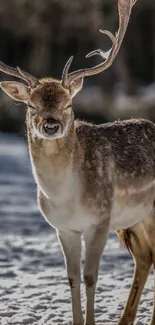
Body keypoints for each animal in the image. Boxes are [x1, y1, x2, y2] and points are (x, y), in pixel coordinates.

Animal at [0, 0, 154, 322]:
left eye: (68, 103)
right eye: (31, 105)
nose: (50, 125)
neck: (66, 197)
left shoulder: (100, 220)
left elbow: (90, 276)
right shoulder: (63, 228)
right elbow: (71, 277)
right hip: (135, 219)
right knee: (146, 256)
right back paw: (125, 319)